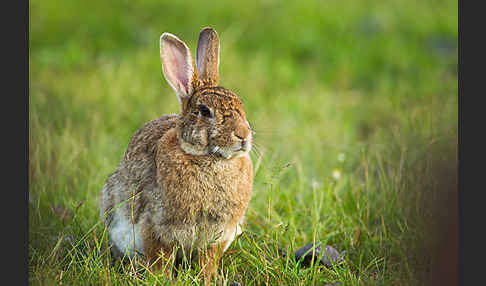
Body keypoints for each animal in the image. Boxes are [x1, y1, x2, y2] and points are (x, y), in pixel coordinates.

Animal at [99, 26, 254, 284]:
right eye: (205, 111)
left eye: (241, 106)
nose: (243, 135)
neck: (209, 159)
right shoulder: (156, 226)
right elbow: (160, 259)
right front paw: (162, 278)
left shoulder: (218, 235)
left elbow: (207, 262)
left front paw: (208, 279)